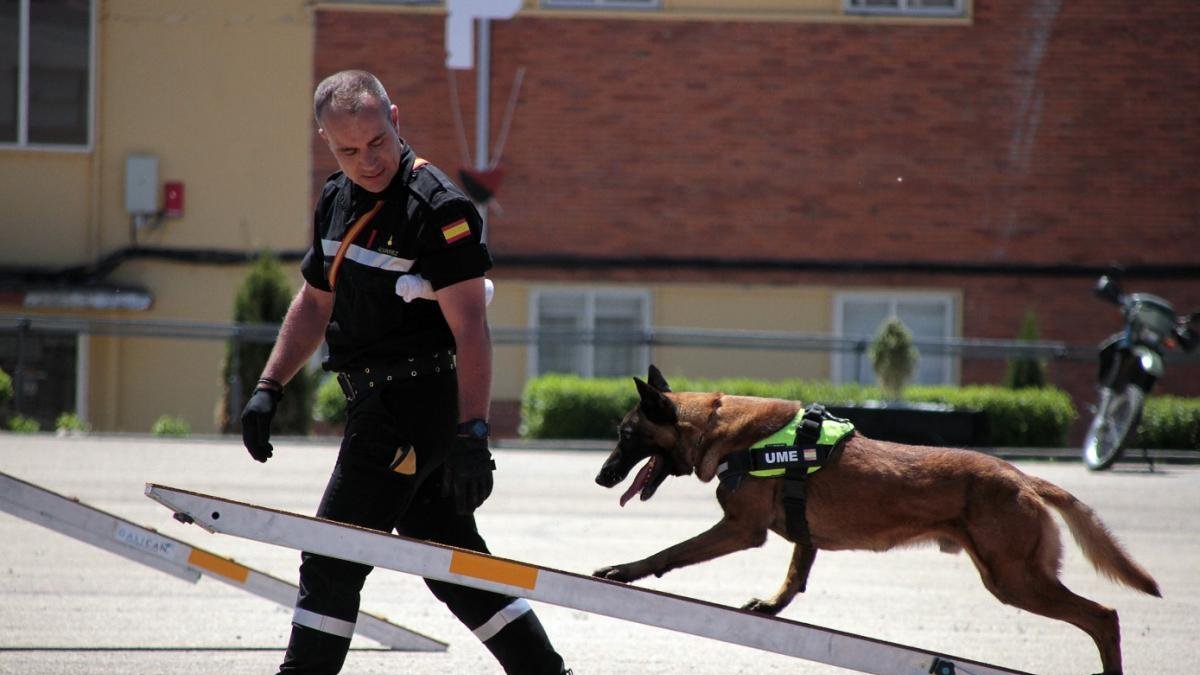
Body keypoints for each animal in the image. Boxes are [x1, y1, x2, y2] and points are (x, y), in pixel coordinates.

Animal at [595, 365, 1156, 672]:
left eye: (625, 435)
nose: (602, 477)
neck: (725, 431)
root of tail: (1023, 477)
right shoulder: (801, 532)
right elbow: (795, 574)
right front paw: (773, 606)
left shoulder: (739, 529)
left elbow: (672, 551)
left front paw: (626, 570)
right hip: (1014, 575)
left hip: (1013, 579)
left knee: (1103, 617)